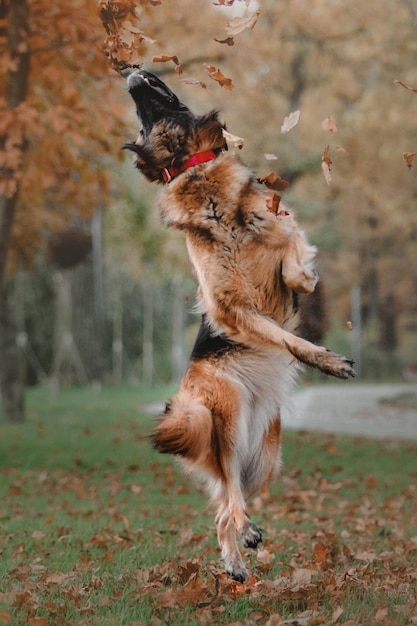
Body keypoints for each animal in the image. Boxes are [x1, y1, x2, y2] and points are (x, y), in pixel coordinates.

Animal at [123, 69, 354, 580]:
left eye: (161, 95)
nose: (132, 70)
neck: (193, 168)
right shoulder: (228, 305)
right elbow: (283, 335)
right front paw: (325, 360)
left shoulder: (285, 227)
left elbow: (293, 270)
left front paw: (305, 281)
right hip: (223, 413)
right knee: (228, 493)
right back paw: (243, 538)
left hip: (266, 458)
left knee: (227, 500)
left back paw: (234, 554)